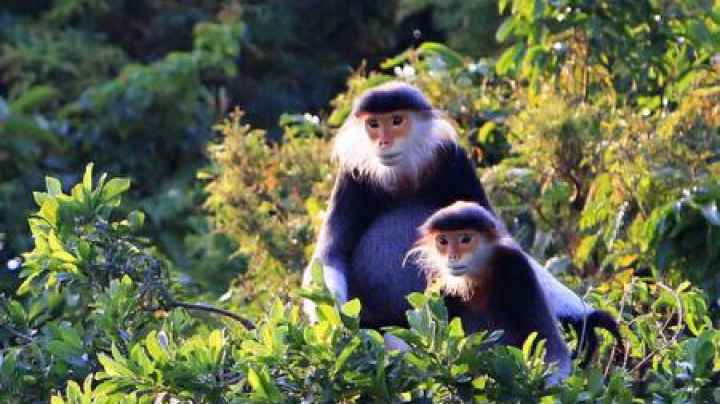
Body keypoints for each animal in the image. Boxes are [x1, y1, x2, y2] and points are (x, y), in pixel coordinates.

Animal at [300, 80, 620, 362]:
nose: (383, 141)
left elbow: (501, 241)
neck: (404, 174)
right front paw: (338, 327)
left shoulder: (453, 160)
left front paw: (585, 316)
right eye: (373, 124)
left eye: (396, 120)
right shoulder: (352, 175)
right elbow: (330, 254)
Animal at [410, 202, 572, 386]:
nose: (452, 256)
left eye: (465, 239)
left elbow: (552, 345)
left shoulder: (517, 265)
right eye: (443, 241)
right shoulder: (437, 284)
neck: (478, 276)